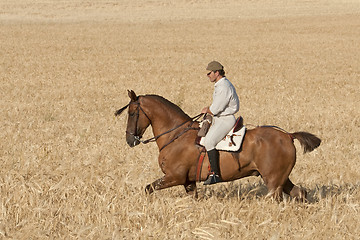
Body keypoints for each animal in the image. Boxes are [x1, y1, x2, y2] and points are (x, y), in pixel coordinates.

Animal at [115, 90, 320, 201]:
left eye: (132, 113)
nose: (130, 140)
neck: (175, 135)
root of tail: (288, 135)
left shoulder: (174, 177)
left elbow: (148, 188)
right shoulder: (188, 182)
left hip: (273, 181)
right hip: (281, 178)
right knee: (300, 192)